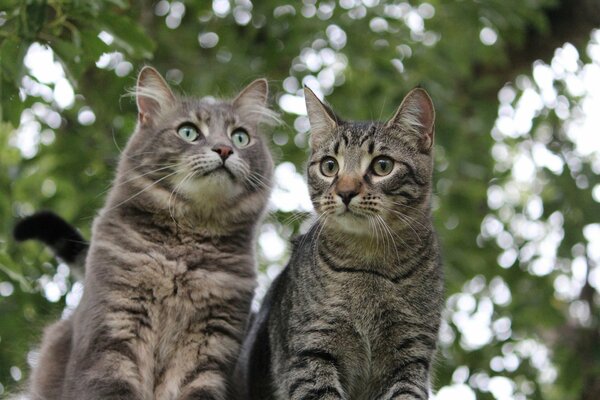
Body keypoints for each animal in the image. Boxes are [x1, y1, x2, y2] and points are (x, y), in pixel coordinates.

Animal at [22, 66, 276, 400]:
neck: (184, 252)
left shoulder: (210, 351)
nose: (224, 149)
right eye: (188, 132)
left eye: (240, 137)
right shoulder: (113, 334)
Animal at [236, 86, 446, 398]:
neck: (370, 263)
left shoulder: (411, 358)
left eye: (383, 166)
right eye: (329, 166)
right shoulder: (310, 353)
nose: (345, 192)